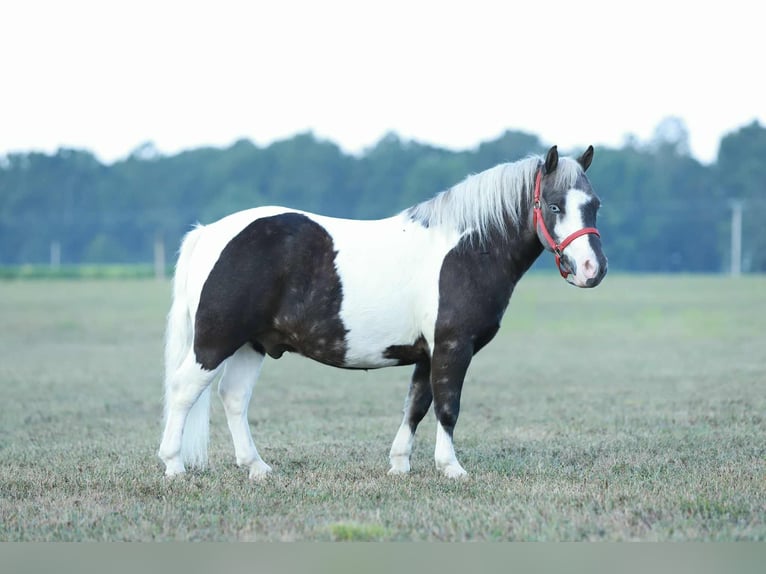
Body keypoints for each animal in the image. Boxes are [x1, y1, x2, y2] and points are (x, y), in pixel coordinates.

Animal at [158, 145, 607, 480]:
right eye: (554, 206)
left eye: (595, 205)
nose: (593, 269)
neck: (467, 249)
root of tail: (209, 233)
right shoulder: (453, 346)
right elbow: (447, 406)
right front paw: (452, 467)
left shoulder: (427, 352)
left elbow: (416, 405)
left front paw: (400, 464)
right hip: (215, 342)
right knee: (183, 390)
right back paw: (174, 466)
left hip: (252, 344)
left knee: (233, 397)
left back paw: (257, 467)